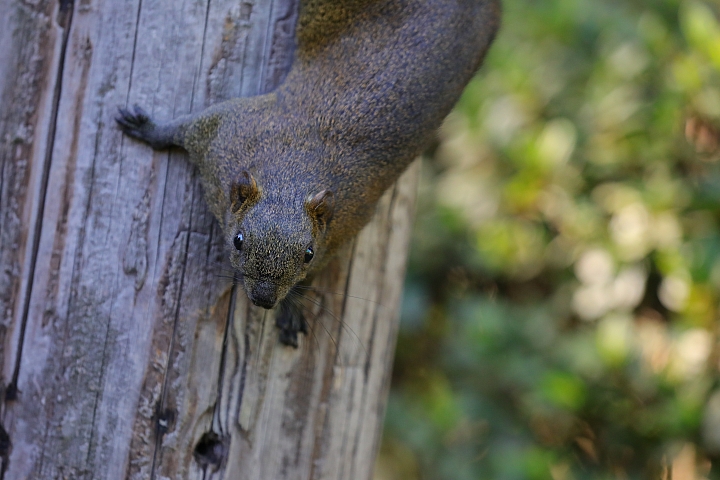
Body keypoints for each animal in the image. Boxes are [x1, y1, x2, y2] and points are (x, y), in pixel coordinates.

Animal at [116, 0, 500, 344]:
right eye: (238, 240)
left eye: (308, 254)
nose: (265, 299)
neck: (290, 173)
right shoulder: (225, 130)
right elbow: (183, 127)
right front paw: (146, 127)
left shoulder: (346, 225)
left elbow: (317, 273)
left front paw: (293, 308)